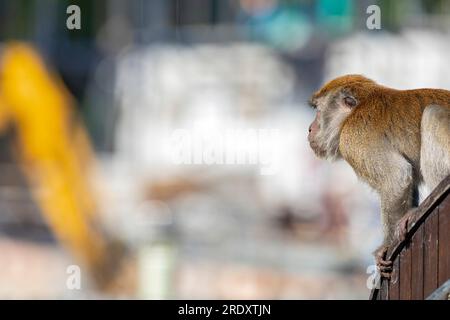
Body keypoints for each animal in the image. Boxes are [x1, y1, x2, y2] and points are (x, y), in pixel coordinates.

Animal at [308, 75, 450, 278]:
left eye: (318, 111)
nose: (310, 129)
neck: (353, 114)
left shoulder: (353, 138)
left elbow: (397, 177)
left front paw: (387, 246)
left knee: (433, 114)